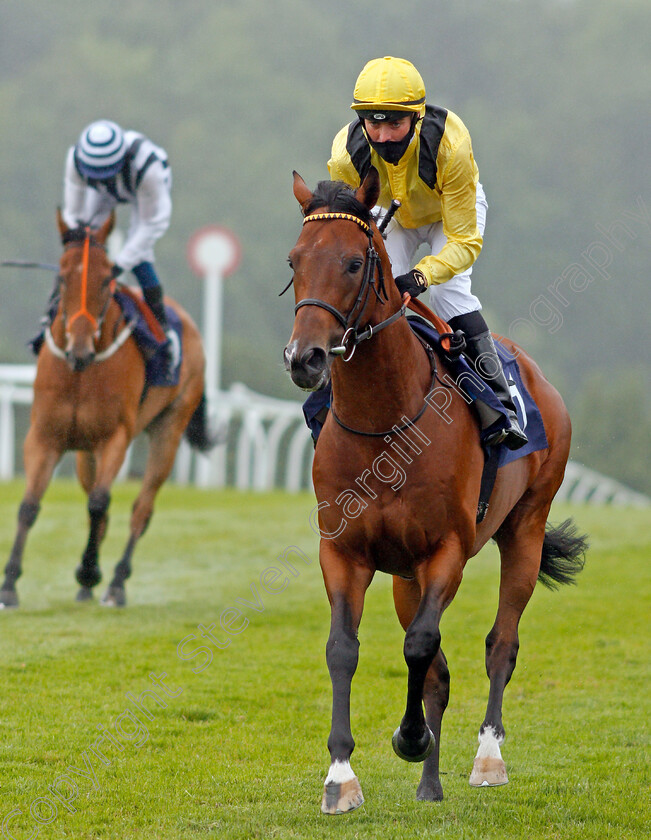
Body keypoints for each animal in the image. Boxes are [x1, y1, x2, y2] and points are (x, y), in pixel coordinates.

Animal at [0, 209, 214, 604]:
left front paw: (88, 571)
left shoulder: (115, 437)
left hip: (169, 429)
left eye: (105, 281)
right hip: (84, 452)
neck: (81, 370)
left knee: (141, 509)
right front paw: (9, 585)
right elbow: (30, 505)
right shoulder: (44, 437)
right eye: (62, 277)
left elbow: (99, 501)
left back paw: (115, 582)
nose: (80, 349)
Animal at [282, 169, 588, 812]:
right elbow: (346, 648)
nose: (305, 358)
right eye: (294, 260)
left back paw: (487, 757)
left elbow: (421, 646)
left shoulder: (445, 549)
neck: (386, 423)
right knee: (440, 670)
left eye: (354, 263)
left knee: (501, 643)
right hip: (405, 575)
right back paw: (430, 784)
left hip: (524, 529)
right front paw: (341, 776)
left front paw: (410, 738)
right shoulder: (345, 551)